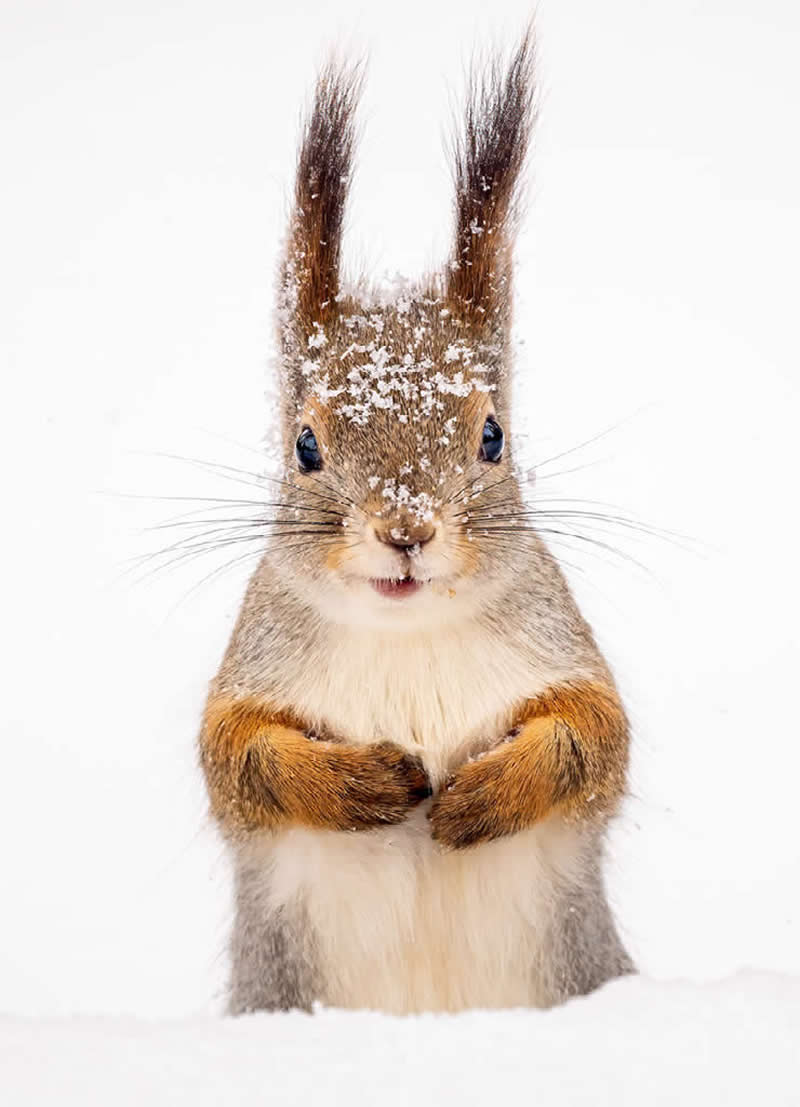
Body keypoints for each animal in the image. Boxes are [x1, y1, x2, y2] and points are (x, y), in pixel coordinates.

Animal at [199, 31, 634, 1015]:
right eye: (306, 445)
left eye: (493, 435)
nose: (406, 532)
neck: (407, 637)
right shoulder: (251, 665)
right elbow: (237, 757)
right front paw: (360, 784)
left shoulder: (564, 645)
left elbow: (595, 740)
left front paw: (484, 794)